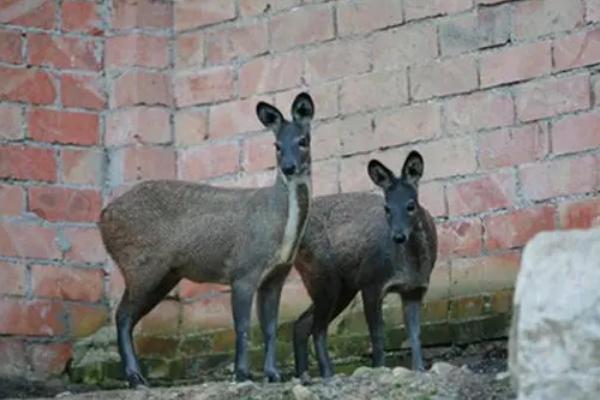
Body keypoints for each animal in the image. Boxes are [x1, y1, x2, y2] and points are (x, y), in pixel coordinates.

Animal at [294, 152, 438, 382]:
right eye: (387, 208)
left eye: (411, 205)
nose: (398, 236)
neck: (410, 267)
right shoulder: (372, 281)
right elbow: (377, 335)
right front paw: (379, 369)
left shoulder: (415, 289)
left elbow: (415, 334)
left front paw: (420, 369)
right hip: (322, 275)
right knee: (318, 328)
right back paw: (327, 374)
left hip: (343, 287)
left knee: (302, 324)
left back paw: (305, 375)